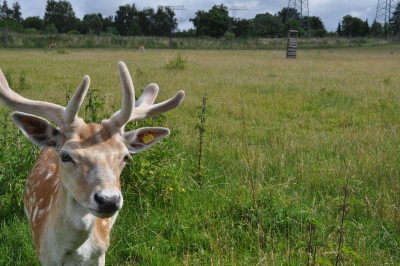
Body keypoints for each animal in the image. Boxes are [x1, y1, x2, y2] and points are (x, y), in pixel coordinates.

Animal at [0, 61, 184, 264]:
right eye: (65, 156)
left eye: (125, 157)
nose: (108, 200)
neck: (73, 252)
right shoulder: (44, 255)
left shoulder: (101, 252)